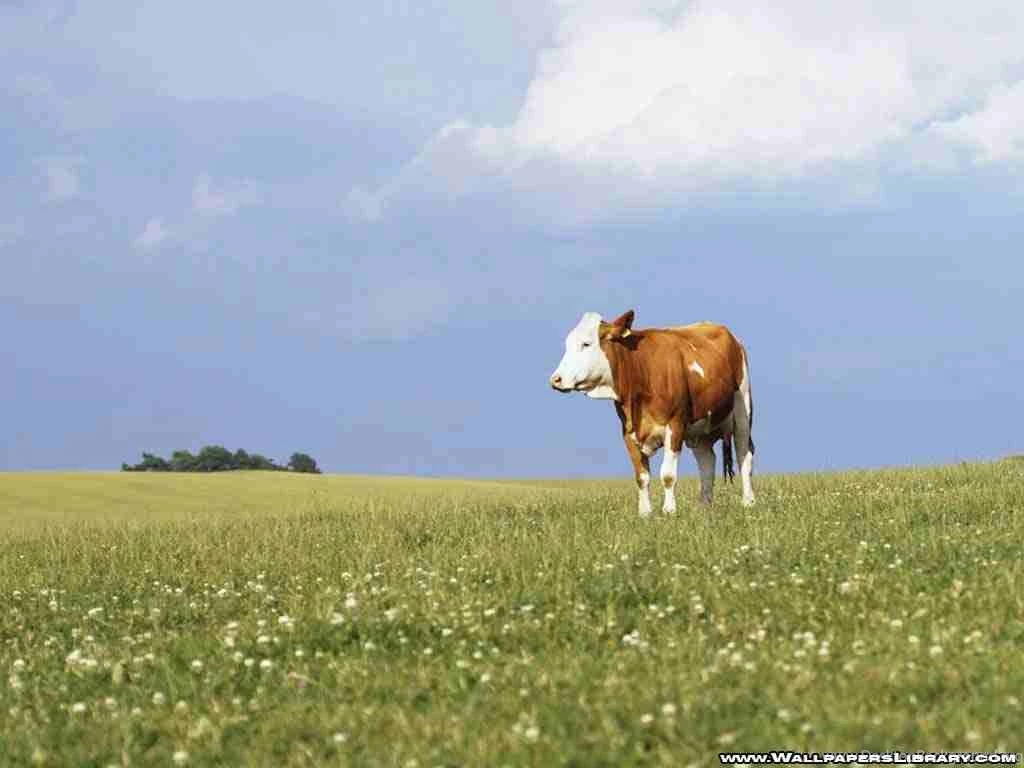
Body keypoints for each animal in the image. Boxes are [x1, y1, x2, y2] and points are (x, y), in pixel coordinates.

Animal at [549, 310, 755, 517]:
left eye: (586, 344)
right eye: (567, 344)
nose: (556, 379)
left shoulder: (675, 425)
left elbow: (668, 475)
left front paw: (669, 510)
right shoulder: (628, 432)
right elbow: (642, 477)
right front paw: (645, 513)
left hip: (742, 409)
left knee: (744, 454)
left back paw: (748, 502)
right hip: (701, 428)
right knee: (707, 462)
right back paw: (704, 507)